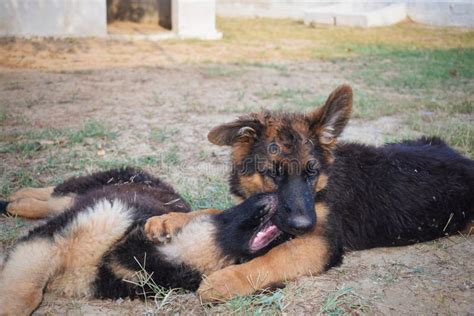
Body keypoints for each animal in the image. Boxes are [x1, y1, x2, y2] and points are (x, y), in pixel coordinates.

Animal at [0, 167, 288, 314]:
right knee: (54, 194)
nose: (276, 195)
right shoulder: (51, 241)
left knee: (50, 202)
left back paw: (15, 203)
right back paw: (16, 198)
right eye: (226, 212)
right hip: (94, 188)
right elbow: (25, 294)